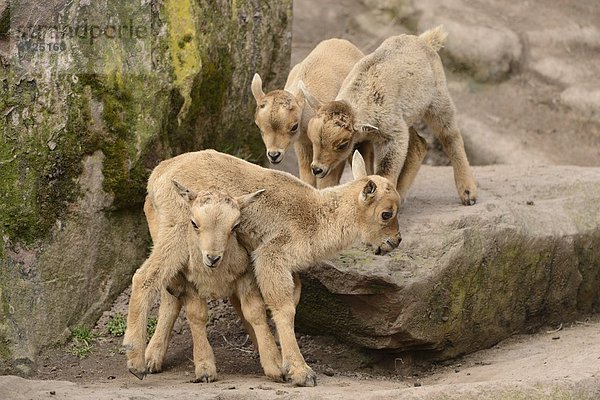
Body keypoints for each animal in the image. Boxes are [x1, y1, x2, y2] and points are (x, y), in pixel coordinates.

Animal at [123, 181, 284, 382]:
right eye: (194, 223)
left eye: (235, 226)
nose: (212, 258)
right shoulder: (189, 282)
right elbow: (196, 315)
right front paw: (205, 367)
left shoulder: (245, 275)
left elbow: (254, 312)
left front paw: (275, 364)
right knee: (156, 290)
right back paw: (140, 360)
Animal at [304, 26, 478, 205]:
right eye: (312, 138)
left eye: (342, 144)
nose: (317, 169)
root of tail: (425, 41)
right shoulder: (362, 141)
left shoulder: (393, 136)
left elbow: (385, 169)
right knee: (420, 144)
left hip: (438, 102)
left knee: (450, 137)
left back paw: (468, 193)